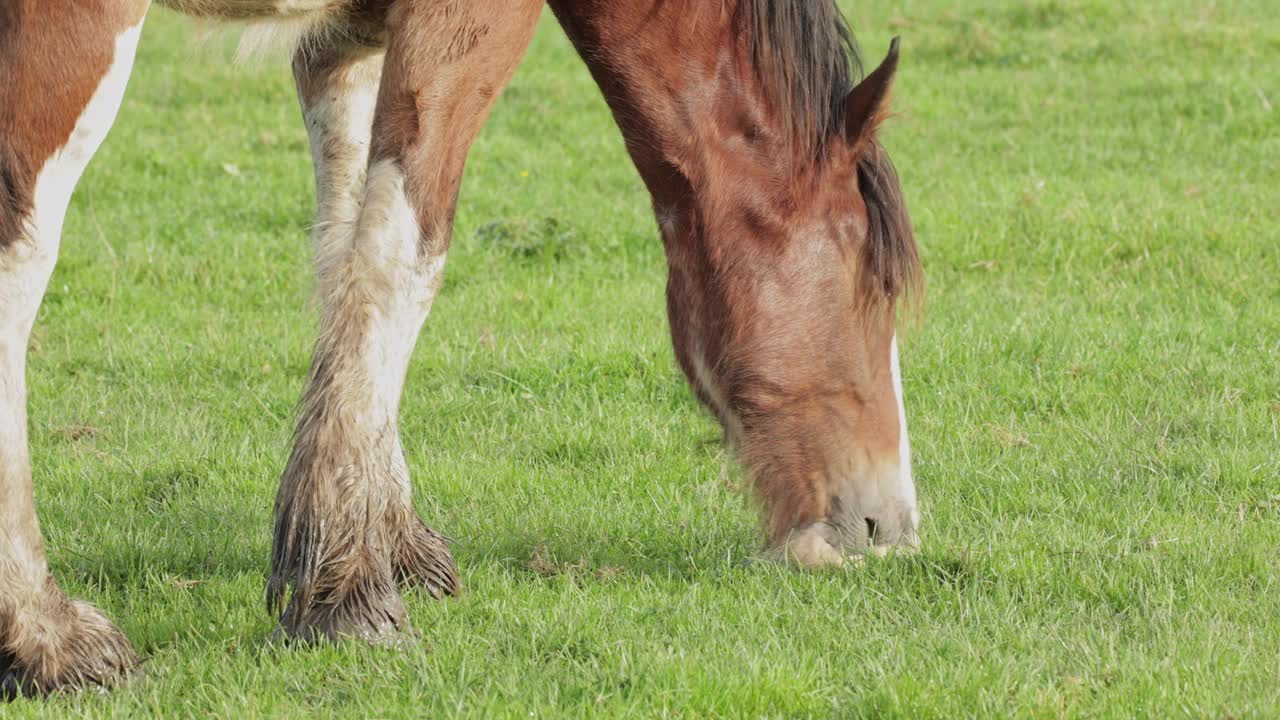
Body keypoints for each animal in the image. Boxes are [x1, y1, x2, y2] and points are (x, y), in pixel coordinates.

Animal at [0, 0, 921, 691]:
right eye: (871, 287)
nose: (892, 525)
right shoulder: (467, 22)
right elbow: (402, 257)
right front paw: (350, 597)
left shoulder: (343, 35)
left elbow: (344, 252)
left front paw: (385, 534)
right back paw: (47, 635)